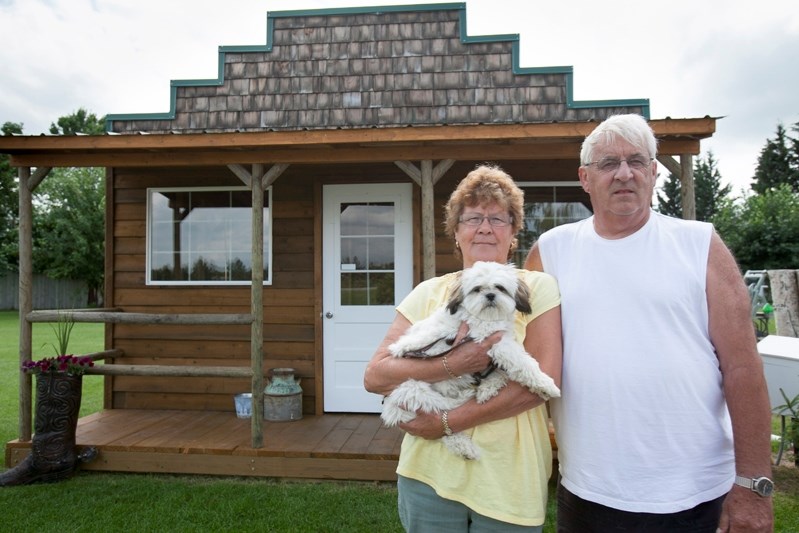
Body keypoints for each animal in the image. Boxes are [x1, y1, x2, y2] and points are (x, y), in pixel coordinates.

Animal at [382, 260, 564, 458]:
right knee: (441, 411)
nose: (490, 295)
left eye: (500, 287)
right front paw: (546, 385)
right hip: (411, 388)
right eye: (477, 289)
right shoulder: (492, 342)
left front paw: (489, 388)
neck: (485, 318)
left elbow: (503, 372)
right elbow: (523, 363)